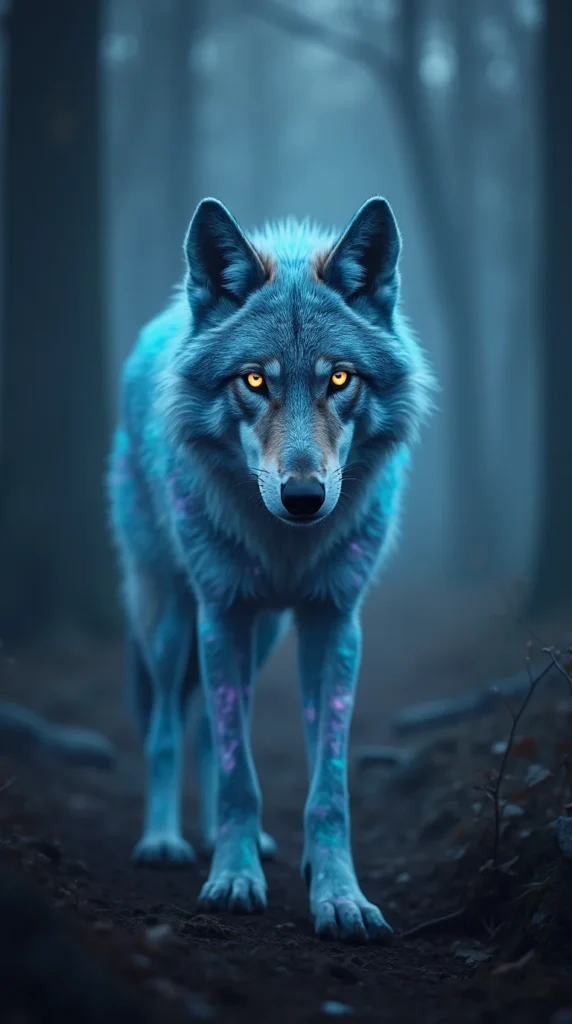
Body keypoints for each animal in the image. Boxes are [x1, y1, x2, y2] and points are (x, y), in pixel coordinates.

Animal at [108, 196, 435, 943]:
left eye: (339, 379)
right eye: (254, 380)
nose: (304, 497)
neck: (287, 548)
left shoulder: (332, 624)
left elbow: (327, 786)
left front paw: (339, 895)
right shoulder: (220, 613)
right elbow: (238, 774)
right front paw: (232, 879)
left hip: (262, 639)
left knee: (205, 728)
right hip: (175, 623)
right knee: (168, 727)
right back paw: (166, 841)